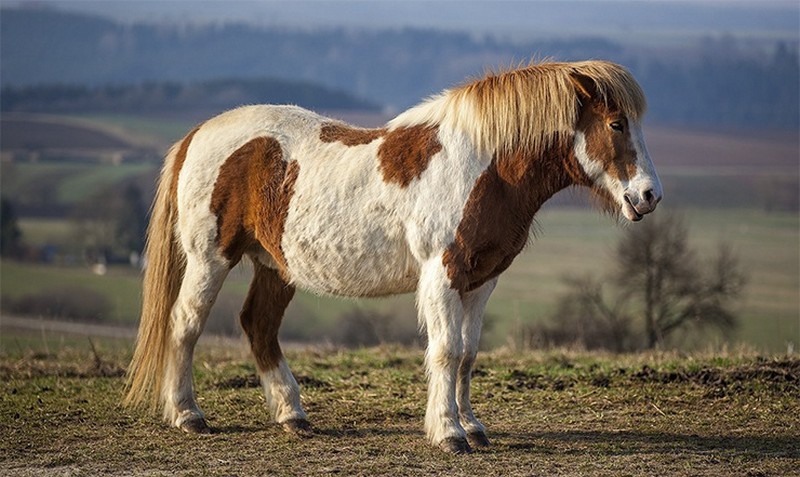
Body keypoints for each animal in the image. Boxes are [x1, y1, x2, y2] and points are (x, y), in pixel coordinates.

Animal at [125, 60, 664, 454]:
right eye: (616, 123)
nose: (649, 196)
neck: (482, 167)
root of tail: (198, 133)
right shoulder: (444, 273)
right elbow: (446, 351)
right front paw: (449, 434)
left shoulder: (482, 280)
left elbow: (469, 354)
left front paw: (474, 428)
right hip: (210, 259)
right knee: (185, 324)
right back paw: (188, 415)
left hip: (274, 265)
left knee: (259, 326)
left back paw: (292, 415)